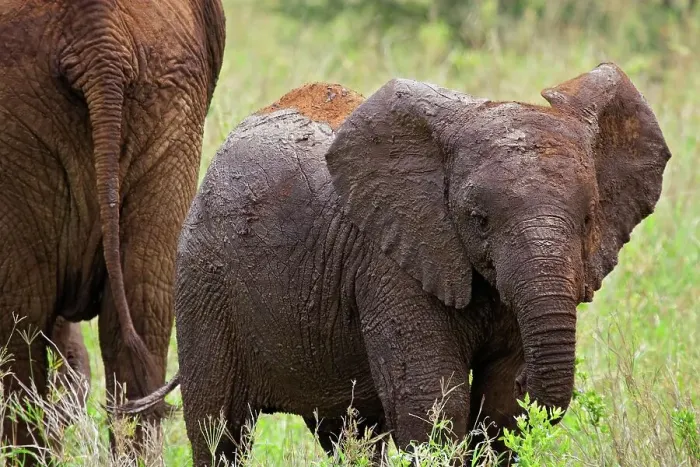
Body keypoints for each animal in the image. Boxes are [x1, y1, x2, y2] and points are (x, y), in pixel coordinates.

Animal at [124, 64, 671, 465]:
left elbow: (500, 411)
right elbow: (432, 404)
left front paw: (509, 391)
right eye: (478, 220)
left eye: (588, 218)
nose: (529, 377)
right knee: (220, 429)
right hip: (203, 283)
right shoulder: (391, 267)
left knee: (350, 432)